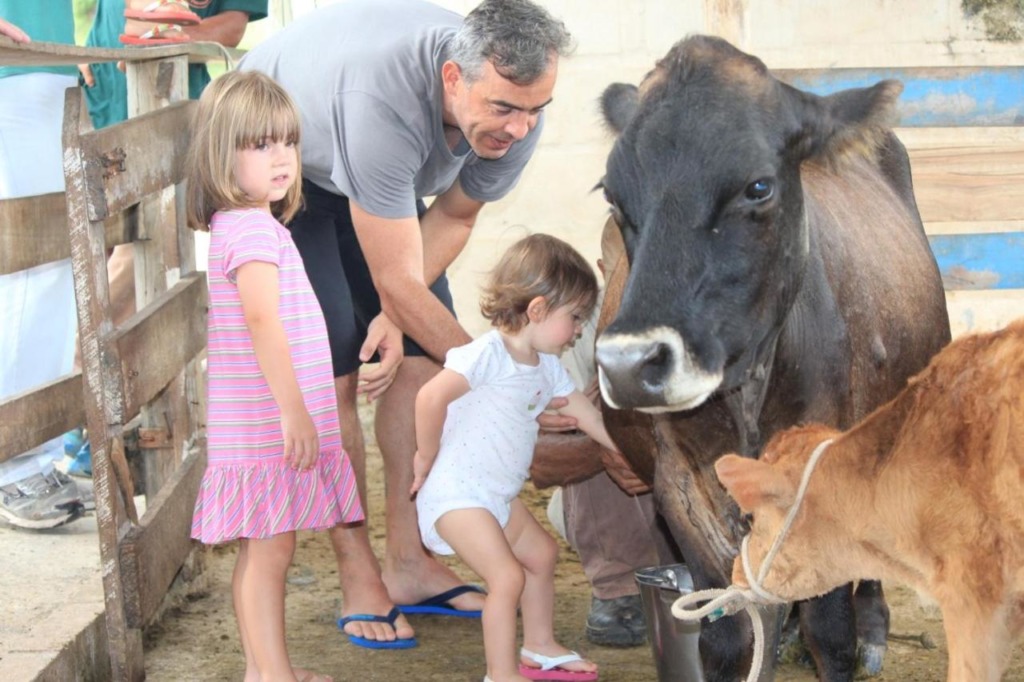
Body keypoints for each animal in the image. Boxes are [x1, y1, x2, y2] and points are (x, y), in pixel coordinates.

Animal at [593, 35, 950, 679]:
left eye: (758, 187)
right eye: (612, 196)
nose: (630, 366)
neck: (749, 391)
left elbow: (830, 630)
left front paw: (846, 638)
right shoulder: (679, 482)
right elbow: (725, 635)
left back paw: (874, 626)